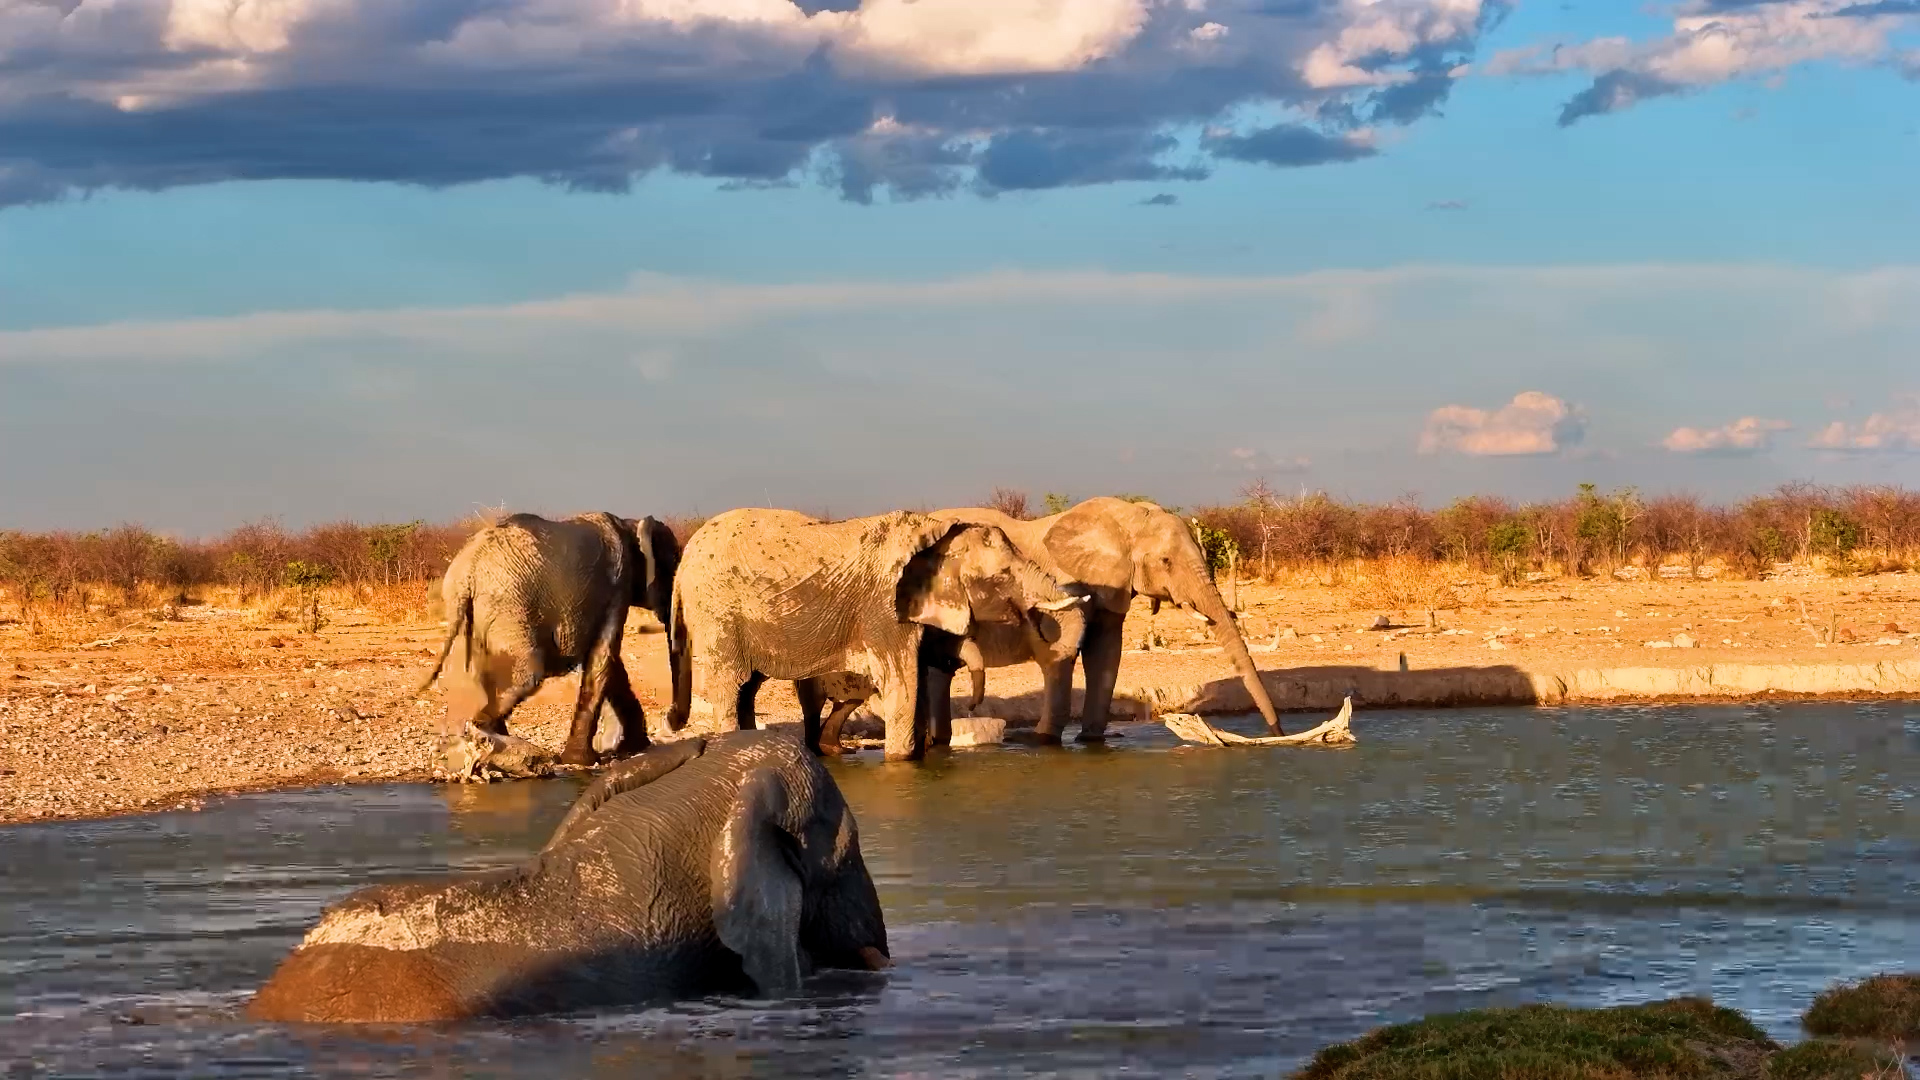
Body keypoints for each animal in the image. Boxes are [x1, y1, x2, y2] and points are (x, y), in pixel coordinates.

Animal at [417, 511, 682, 767]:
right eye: (673, 567)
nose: (668, 724)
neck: (630, 524)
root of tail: (465, 573)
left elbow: (610, 665)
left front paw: (632, 750)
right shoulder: (618, 586)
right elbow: (603, 656)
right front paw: (583, 762)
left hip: (478, 612)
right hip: (509, 606)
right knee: (526, 675)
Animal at [665, 509, 1087, 762]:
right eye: (1002, 575)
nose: (972, 706)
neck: (935, 533)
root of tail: (683, 564)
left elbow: (915, 686)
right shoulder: (883, 610)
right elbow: (902, 686)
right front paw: (900, 763)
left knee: (748, 688)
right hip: (717, 614)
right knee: (730, 685)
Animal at [932, 497, 1284, 743]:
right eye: (1166, 561)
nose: (1276, 733)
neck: (1125, 519)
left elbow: (1105, 653)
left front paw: (1090, 740)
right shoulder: (1065, 580)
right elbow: (1061, 650)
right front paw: (1042, 741)